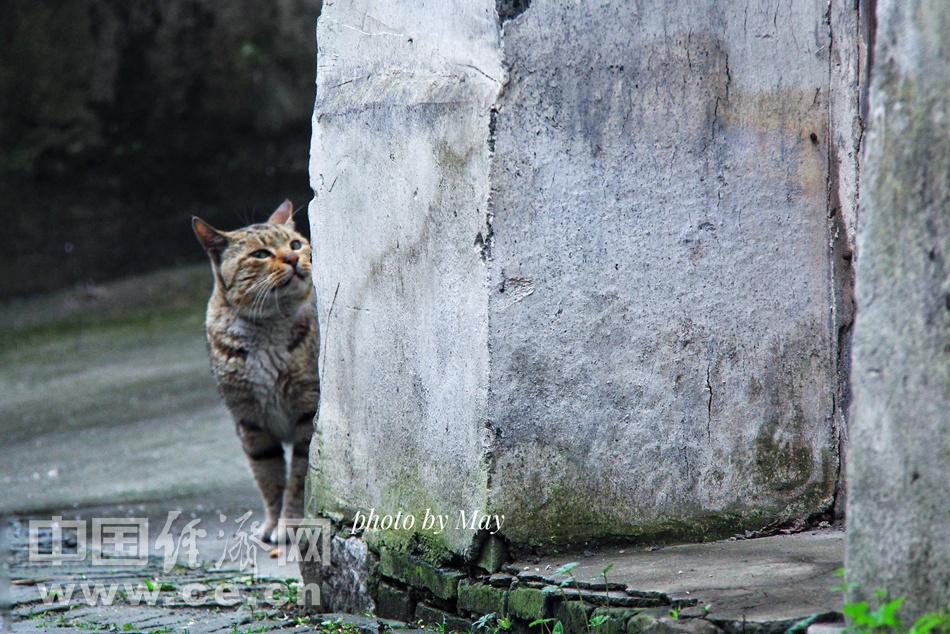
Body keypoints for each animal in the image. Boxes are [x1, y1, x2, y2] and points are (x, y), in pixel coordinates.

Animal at [192, 200, 320, 540]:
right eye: (261, 254)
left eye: (295, 244)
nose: (292, 258)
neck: (267, 331)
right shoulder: (249, 422)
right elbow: (268, 477)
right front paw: (274, 521)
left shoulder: (307, 412)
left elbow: (298, 477)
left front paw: (289, 524)